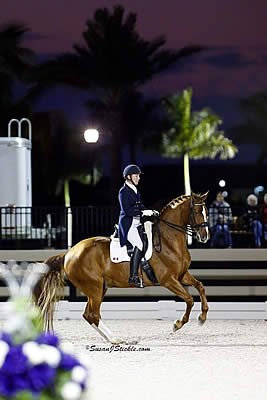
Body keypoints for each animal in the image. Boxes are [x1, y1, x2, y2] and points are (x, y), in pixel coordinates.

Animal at [35, 191, 210, 344]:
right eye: (196, 211)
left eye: (206, 211)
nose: (204, 236)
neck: (168, 241)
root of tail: (68, 253)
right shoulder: (168, 280)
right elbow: (189, 299)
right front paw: (177, 324)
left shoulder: (182, 275)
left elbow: (200, 287)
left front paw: (202, 317)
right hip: (94, 288)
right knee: (93, 314)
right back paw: (115, 339)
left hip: (100, 288)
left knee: (88, 314)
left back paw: (111, 338)